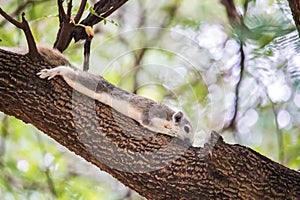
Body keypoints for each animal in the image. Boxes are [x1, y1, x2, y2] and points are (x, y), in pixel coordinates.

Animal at [36, 50, 195, 145]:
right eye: (187, 129)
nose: (190, 144)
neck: (168, 117)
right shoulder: (154, 113)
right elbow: (149, 124)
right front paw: (172, 132)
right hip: (88, 83)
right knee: (69, 72)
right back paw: (55, 71)